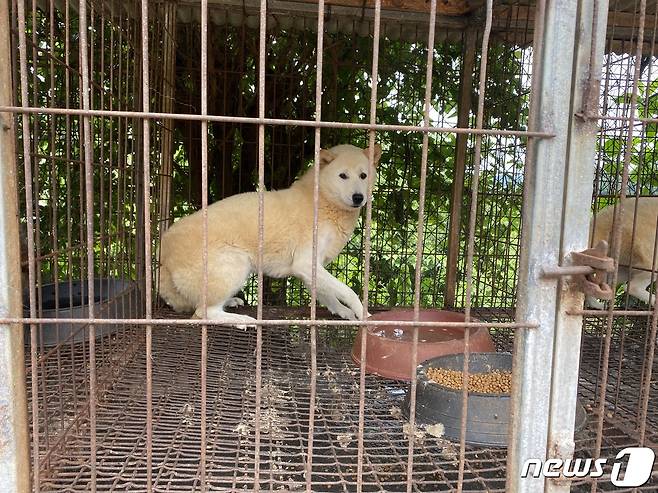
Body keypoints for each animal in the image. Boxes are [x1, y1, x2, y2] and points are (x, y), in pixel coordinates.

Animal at [157, 142, 380, 326]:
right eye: (343, 176)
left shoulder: (310, 270)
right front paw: (363, 313)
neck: (322, 203)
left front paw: (343, 311)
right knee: (204, 312)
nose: (358, 197)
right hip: (236, 264)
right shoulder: (306, 263)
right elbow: (349, 292)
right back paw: (241, 319)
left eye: (363, 175)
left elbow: (328, 295)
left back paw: (231, 302)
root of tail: (165, 254)